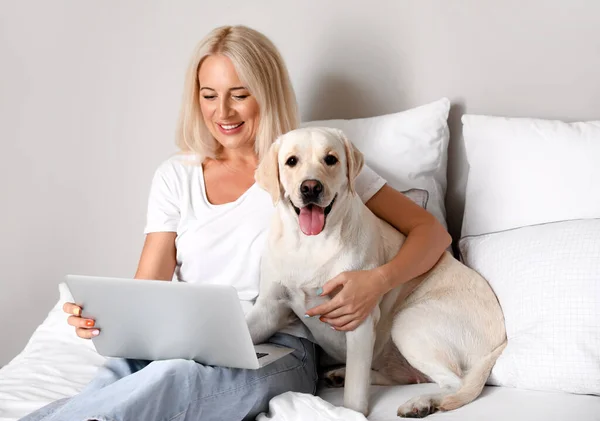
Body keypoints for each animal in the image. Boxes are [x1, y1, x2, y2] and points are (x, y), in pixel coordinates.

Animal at [244, 127, 506, 416]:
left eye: (331, 159)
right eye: (291, 161)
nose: (311, 187)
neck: (310, 245)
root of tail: (500, 341)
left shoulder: (358, 318)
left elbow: (354, 396)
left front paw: (350, 413)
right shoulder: (269, 309)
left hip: (408, 322)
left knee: (455, 383)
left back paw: (422, 402)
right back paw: (342, 374)